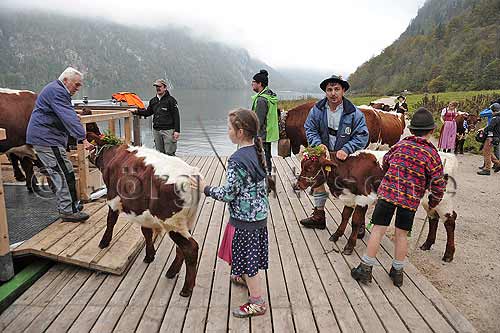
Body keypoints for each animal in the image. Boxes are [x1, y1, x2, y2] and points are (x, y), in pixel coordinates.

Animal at [296, 147, 458, 260]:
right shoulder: (350, 197)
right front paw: (336, 235)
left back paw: (448, 254)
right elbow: (345, 216)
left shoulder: (362, 198)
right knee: (433, 218)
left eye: (310, 168)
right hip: (430, 201)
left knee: (450, 220)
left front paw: (349, 246)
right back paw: (427, 244)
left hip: (443, 199)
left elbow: (355, 221)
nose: (297, 185)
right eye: (302, 165)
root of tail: (448, 157)